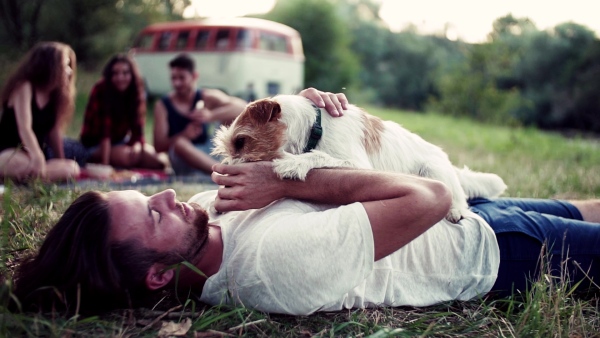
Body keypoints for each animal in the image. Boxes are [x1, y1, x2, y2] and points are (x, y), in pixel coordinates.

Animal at [212, 95, 506, 222]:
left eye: (241, 141)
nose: (222, 181)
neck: (315, 126)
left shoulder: (357, 163)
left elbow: (319, 156)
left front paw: (293, 163)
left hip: (433, 168)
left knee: (458, 196)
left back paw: (456, 210)